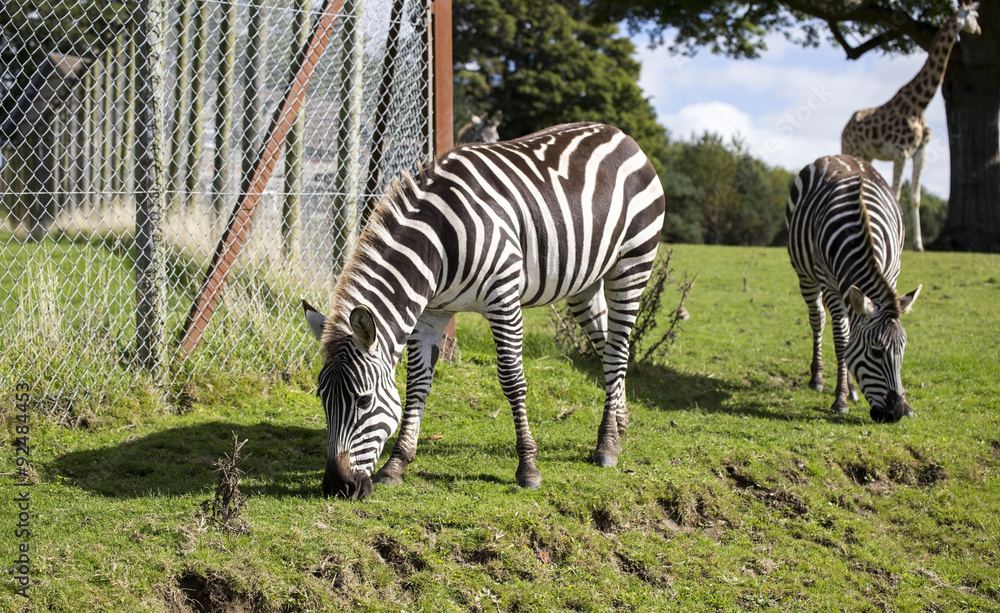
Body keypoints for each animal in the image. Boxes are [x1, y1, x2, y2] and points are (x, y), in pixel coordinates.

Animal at [303, 122, 666, 499]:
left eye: (363, 401)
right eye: (321, 397)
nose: (337, 487)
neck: (438, 242)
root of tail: (619, 133)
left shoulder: (503, 298)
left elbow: (512, 380)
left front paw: (528, 467)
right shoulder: (431, 313)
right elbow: (417, 385)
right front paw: (396, 464)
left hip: (632, 263)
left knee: (618, 348)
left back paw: (606, 444)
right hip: (585, 283)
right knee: (608, 348)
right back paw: (619, 424)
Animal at [786, 154, 922, 423]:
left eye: (903, 350)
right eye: (876, 352)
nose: (895, 414)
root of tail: (837, 156)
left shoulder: (892, 276)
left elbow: (850, 338)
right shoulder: (829, 283)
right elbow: (842, 340)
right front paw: (840, 399)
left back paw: (852, 388)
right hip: (806, 276)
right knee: (819, 319)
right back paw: (819, 378)